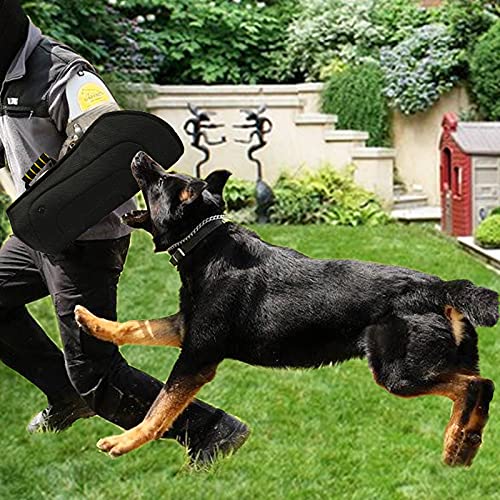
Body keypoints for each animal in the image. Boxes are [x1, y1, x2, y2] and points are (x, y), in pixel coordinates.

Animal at [75, 151, 498, 466]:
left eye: (162, 181)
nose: (139, 155)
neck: (205, 242)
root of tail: (441, 287)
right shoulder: (185, 328)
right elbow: (133, 326)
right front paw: (91, 321)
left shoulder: (196, 357)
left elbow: (160, 407)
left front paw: (125, 441)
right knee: (483, 387)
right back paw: (466, 443)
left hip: (398, 373)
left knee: (475, 385)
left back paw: (455, 443)